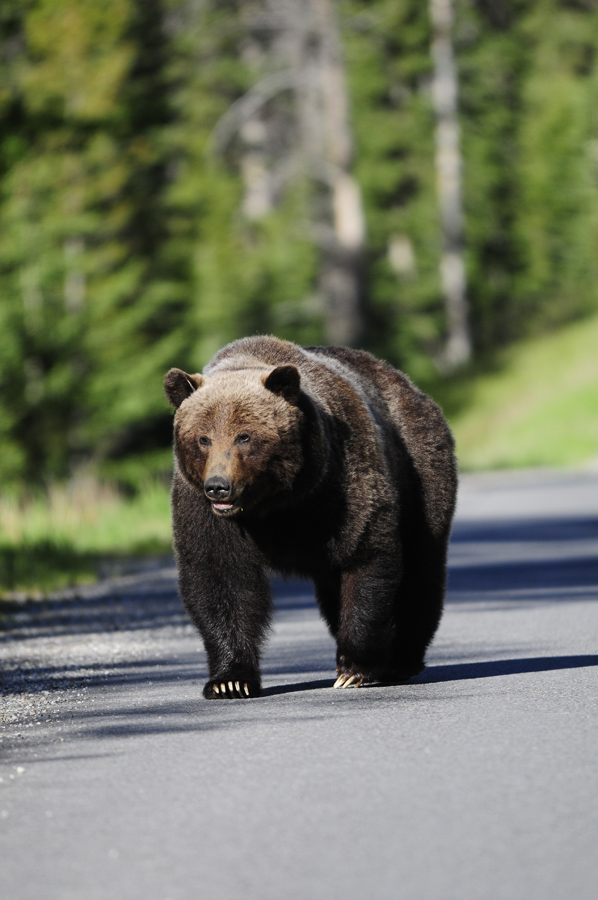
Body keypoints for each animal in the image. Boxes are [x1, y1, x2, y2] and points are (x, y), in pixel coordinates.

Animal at [164, 335, 457, 699]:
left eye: (244, 436)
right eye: (203, 438)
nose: (219, 487)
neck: (277, 503)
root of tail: (406, 383)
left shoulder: (341, 480)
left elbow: (365, 555)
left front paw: (354, 669)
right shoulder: (203, 510)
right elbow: (219, 576)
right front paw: (229, 680)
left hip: (420, 467)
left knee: (421, 565)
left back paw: (402, 659)